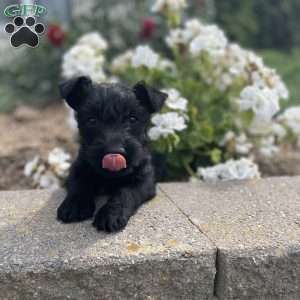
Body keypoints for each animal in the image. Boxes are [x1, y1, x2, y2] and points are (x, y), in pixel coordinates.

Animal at [57, 75, 168, 232]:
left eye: (132, 118)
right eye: (92, 120)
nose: (114, 151)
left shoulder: (144, 179)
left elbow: (125, 192)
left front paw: (111, 214)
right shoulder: (78, 168)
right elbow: (78, 184)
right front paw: (75, 205)